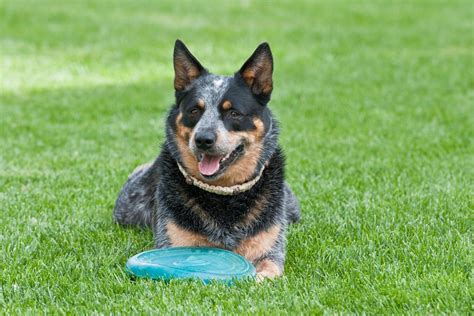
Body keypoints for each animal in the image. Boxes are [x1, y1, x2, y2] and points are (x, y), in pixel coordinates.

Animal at [113, 39, 300, 278]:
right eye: (194, 110)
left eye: (234, 113)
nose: (203, 139)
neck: (224, 196)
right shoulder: (172, 242)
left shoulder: (270, 250)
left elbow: (268, 269)